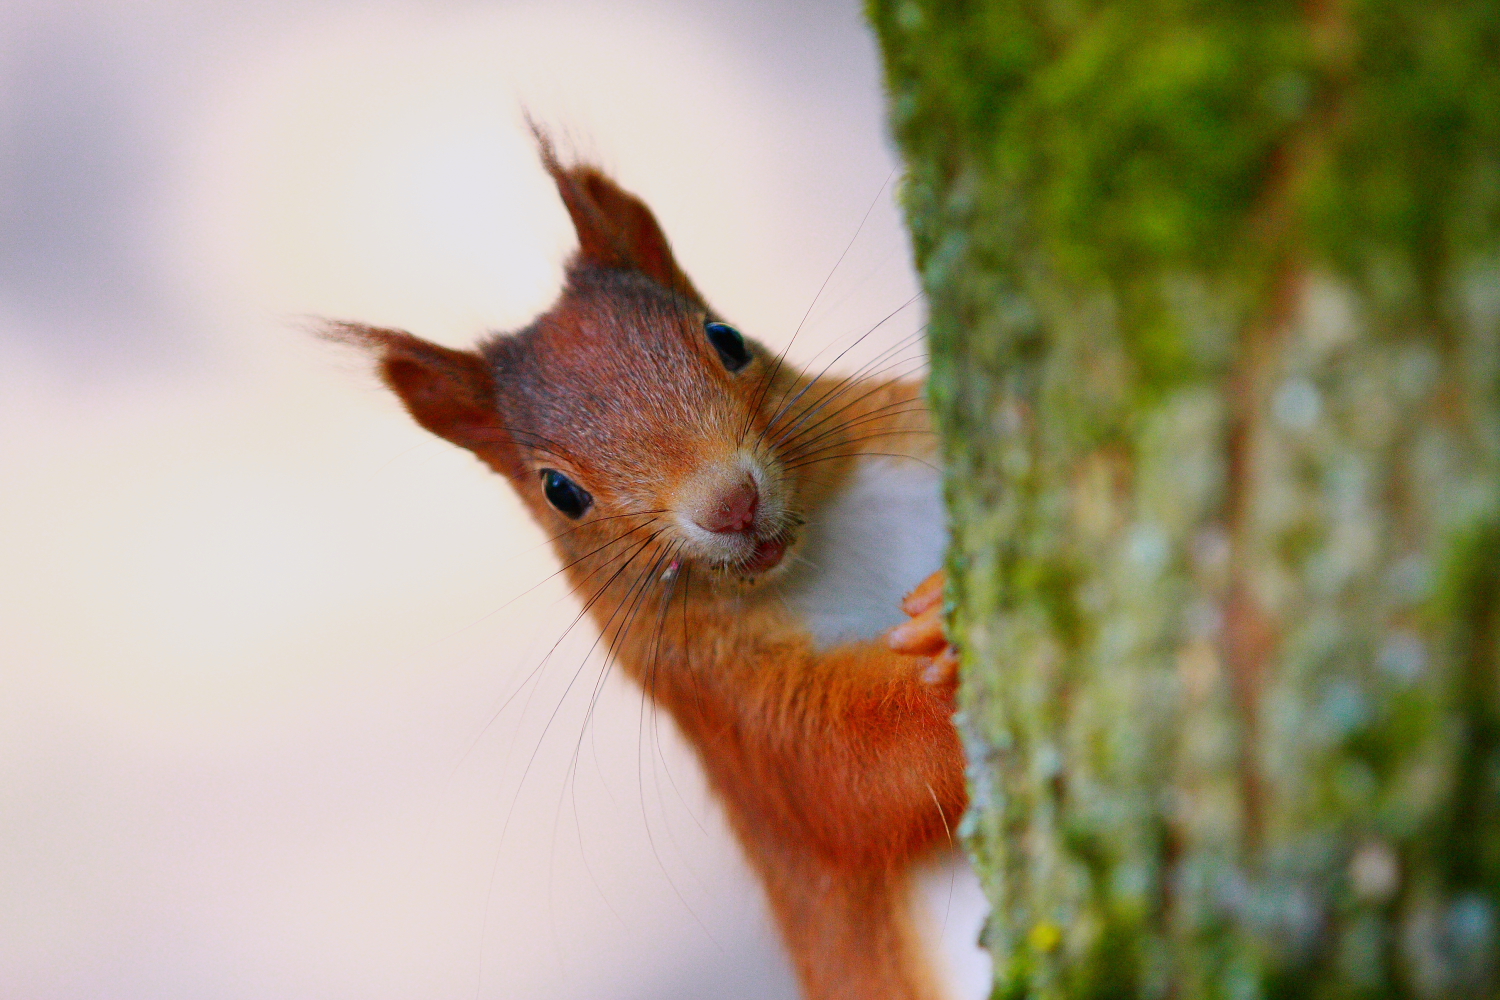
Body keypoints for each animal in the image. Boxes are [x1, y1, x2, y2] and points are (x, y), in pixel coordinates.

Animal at [330, 138, 972, 1000]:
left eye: (726, 337)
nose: (730, 502)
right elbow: (854, 774)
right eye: (560, 492)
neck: (824, 546)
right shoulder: (719, 704)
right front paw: (943, 660)